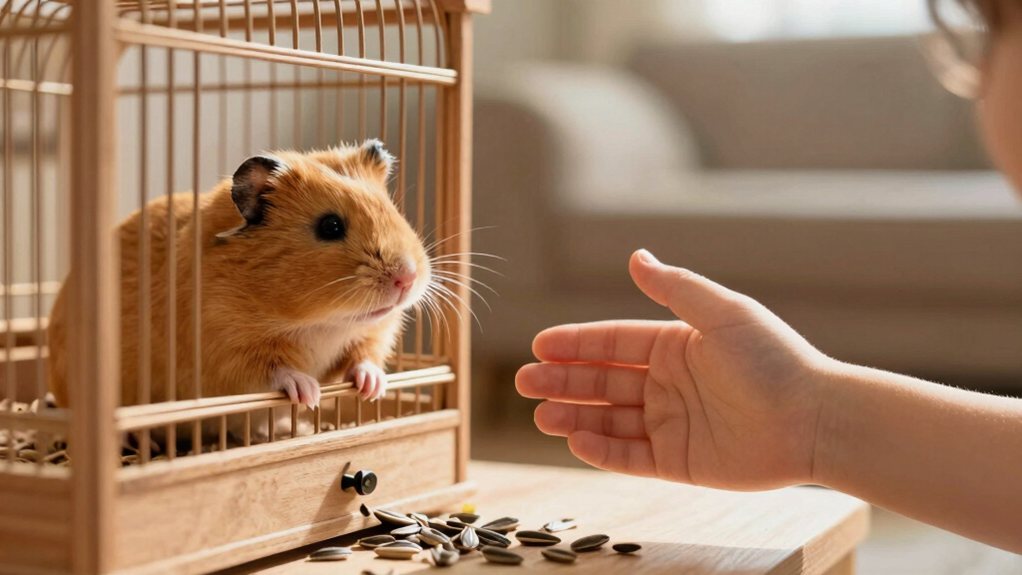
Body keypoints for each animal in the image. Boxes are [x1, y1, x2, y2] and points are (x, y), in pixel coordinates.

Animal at [48, 139, 430, 414]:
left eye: (393, 211)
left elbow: (364, 357)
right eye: (330, 226)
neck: (321, 323)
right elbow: (274, 371)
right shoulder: (225, 350)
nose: (408, 278)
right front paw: (309, 394)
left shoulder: (371, 334)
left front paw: (373, 389)